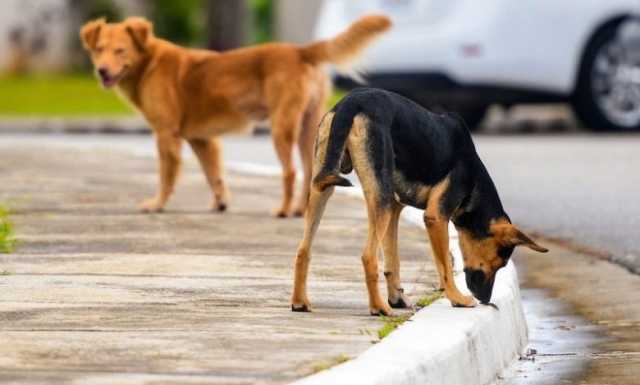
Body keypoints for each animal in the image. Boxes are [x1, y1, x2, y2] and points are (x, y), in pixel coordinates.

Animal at [80, 15, 390, 216]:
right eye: (99, 50)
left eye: (120, 51)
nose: (101, 70)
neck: (148, 63)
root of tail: (299, 50)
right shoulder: (202, 139)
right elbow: (214, 174)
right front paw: (220, 204)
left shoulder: (167, 135)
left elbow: (167, 176)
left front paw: (157, 204)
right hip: (308, 129)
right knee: (308, 171)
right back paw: (301, 210)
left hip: (281, 128)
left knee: (290, 171)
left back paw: (283, 210)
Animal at [292, 88, 548, 316]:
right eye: (498, 262)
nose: (485, 299)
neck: (473, 177)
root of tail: (350, 103)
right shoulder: (435, 217)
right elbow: (444, 265)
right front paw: (456, 298)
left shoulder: (396, 210)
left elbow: (393, 262)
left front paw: (397, 299)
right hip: (380, 198)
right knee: (368, 256)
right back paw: (379, 308)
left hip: (324, 187)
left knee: (303, 249)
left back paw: (300, 302)